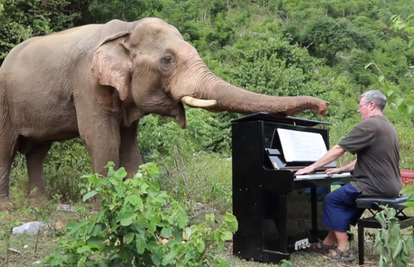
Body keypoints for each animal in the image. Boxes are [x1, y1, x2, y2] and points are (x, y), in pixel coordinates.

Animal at [0, 16, 330, 210]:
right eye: (167, 60)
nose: (323, 106)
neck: (125, 31)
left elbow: (129, 144)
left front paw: (139, 203)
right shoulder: (87, 82)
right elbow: (101, 138)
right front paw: (105, 207)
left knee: (37, 152)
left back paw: (39, 204)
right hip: (4, 101)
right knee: (7, 149)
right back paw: (8, 207)